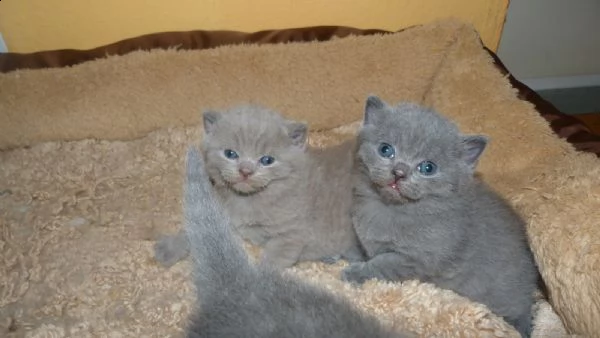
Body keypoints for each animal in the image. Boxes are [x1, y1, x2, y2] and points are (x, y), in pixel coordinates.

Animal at [155, 105, 360, 270]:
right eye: (230, 154)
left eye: (267, 160)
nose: (245, 171)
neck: (247, 199)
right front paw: (170, 247)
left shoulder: (291, 235)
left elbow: (270, 262)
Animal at [342, 95, 540, 338]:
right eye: (386, 150)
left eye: (428, 168)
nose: (399, 172)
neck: (390, 208)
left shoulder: (416, 258)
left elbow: (383, 263)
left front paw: (354, 273)